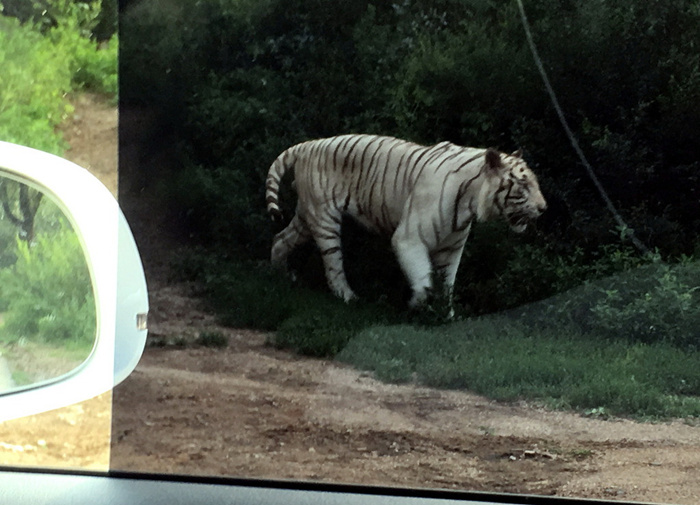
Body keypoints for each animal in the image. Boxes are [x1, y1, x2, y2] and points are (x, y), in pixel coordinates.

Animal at [266, 134, 544, 306]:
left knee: (280, 239)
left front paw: (445, 315)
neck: (470, 202)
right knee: (333, 266)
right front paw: (416, 304)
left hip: (307, 215)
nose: (544, 208)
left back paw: (281, 277)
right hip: (325, 220)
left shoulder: (452, 247)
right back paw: (349, 298)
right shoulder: (408, 239)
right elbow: (424, 280)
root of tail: (307, 145)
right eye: (523, 185)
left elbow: (447, 284)